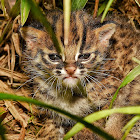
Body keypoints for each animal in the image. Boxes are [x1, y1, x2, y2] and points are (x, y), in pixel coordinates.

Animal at [20, 10, 140, 139]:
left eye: (84, 56)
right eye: (54, 57)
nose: (70, 70)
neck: (69, 94)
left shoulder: (116, 93)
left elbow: (102, 116)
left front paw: (87, 133)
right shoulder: (51, 111)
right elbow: (50, 128)